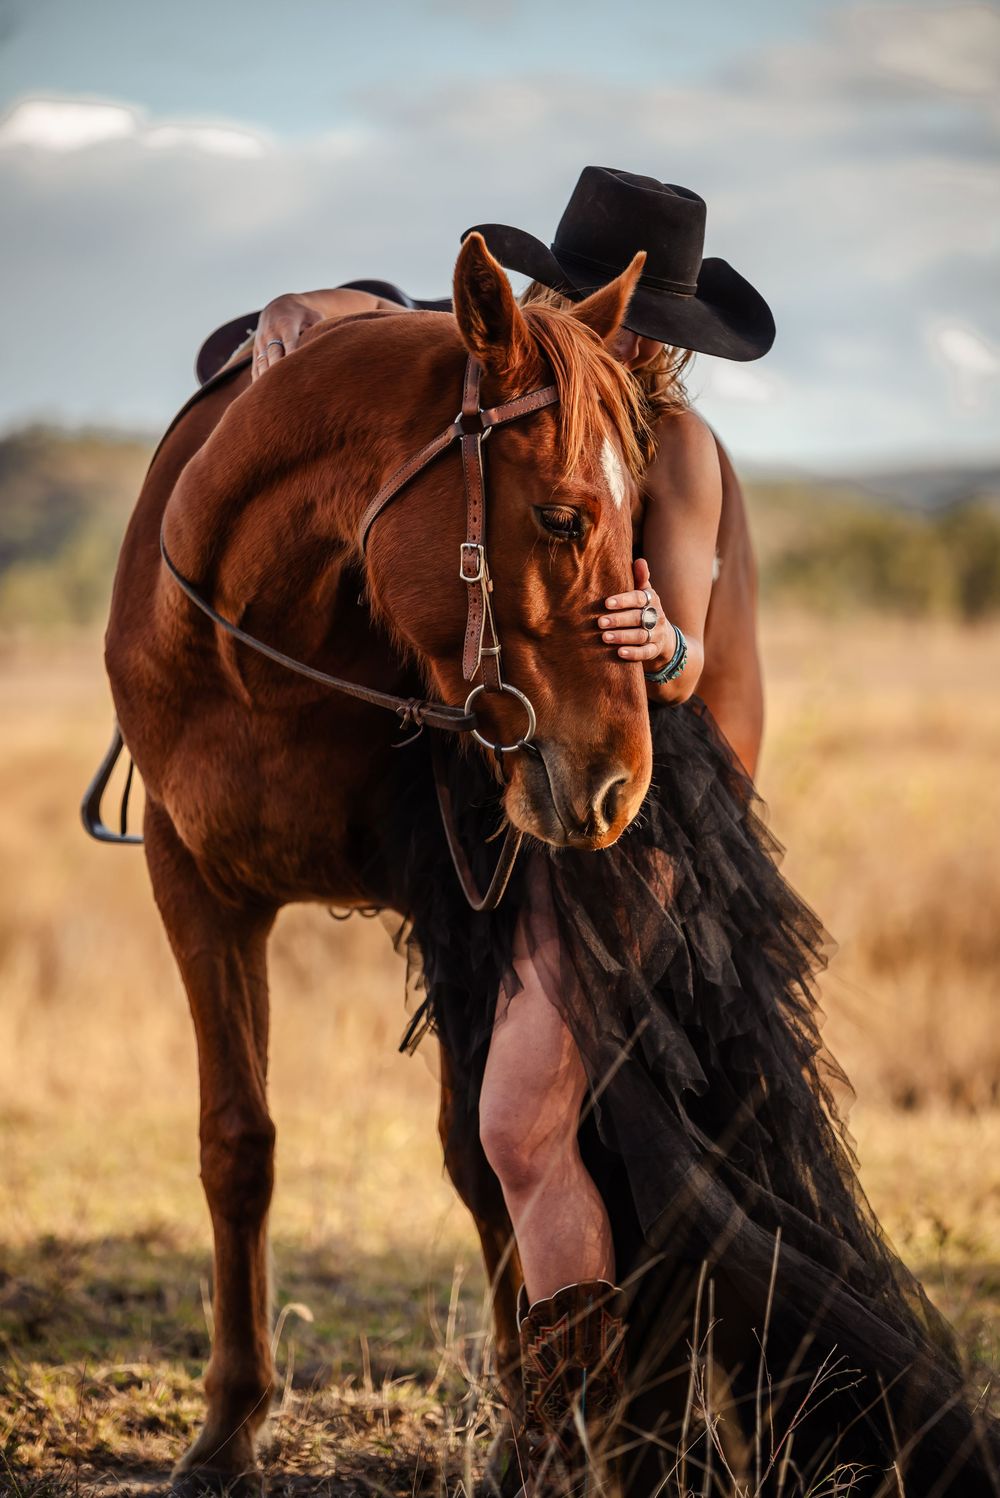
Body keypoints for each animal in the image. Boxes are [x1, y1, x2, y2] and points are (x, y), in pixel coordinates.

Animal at [99, 233, 655, 1489]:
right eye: (560, 517)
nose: (619, 783)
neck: (256, 642)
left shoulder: (453, 901)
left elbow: (480, 1155)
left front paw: (524, 1425)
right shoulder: (192, 886)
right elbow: (237, 1143)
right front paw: (227, 1426)